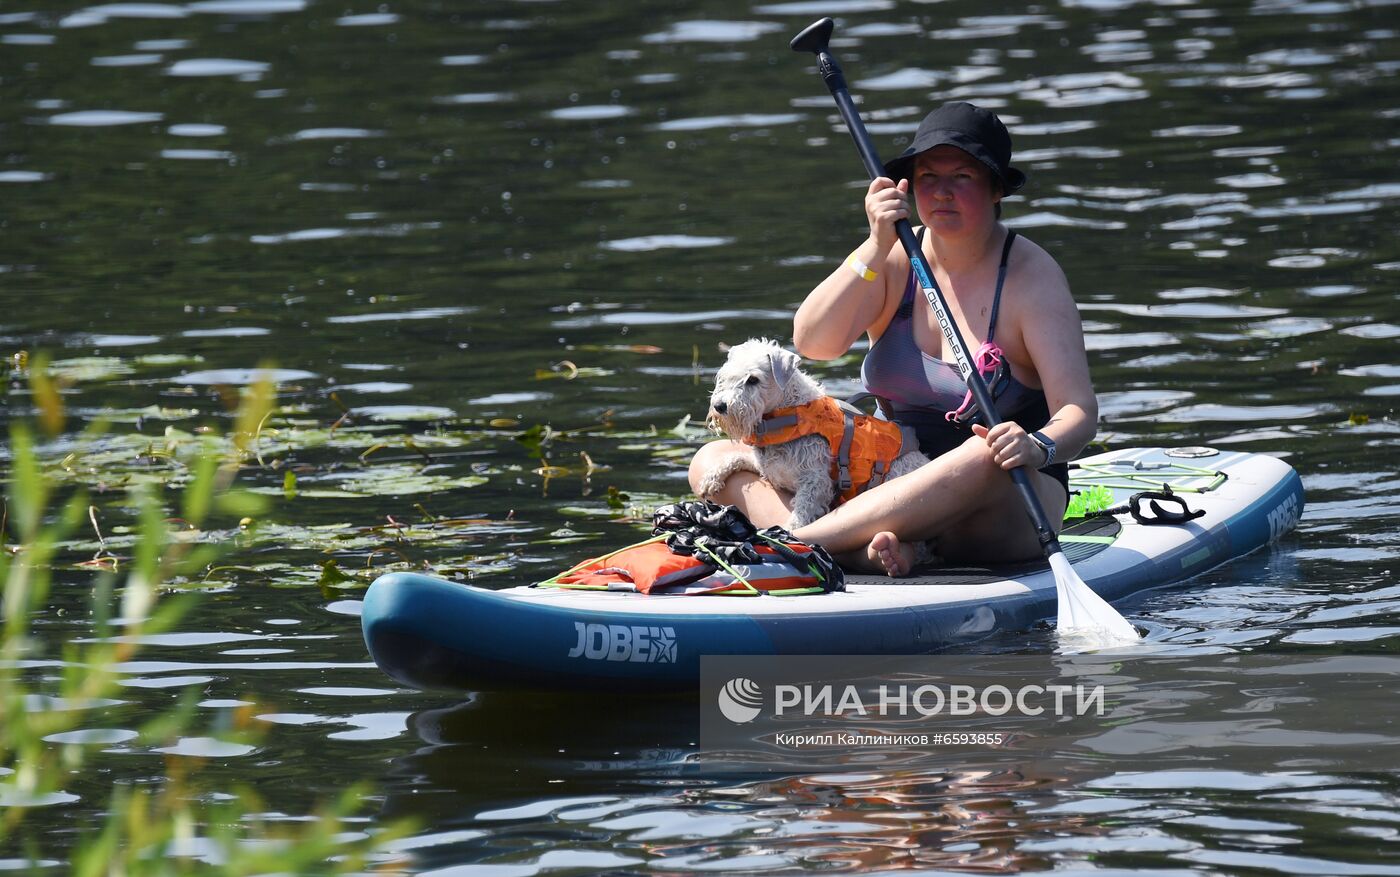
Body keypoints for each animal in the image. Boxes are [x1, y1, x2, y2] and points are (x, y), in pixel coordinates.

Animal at [700, 337, 929, 529]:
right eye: (726, 375)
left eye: (753, 379)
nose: (720, 406)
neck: (784, 415)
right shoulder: (768, 468)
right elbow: (736, 457)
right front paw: (711, 478)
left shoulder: (815, 481)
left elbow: (802, 510)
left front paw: (790, 531)